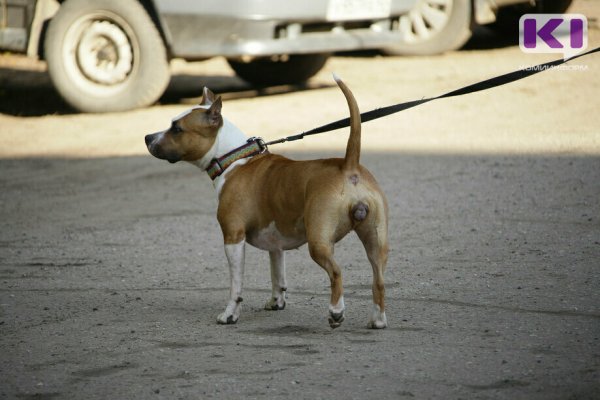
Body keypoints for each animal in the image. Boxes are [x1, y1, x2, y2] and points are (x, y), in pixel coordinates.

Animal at [145, 76, 390, 328]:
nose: (147, 138)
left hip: (319, 243)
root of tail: (349, 166)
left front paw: (230, 314)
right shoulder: (276, 243)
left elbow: (236, 287)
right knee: (379, 280)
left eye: (177, 129)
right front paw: (276, 302)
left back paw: (336, 312)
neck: (233, 159)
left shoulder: (233, 238)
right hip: (376, 242)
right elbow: (277, 275)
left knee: (337, 273)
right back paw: (378, 320)